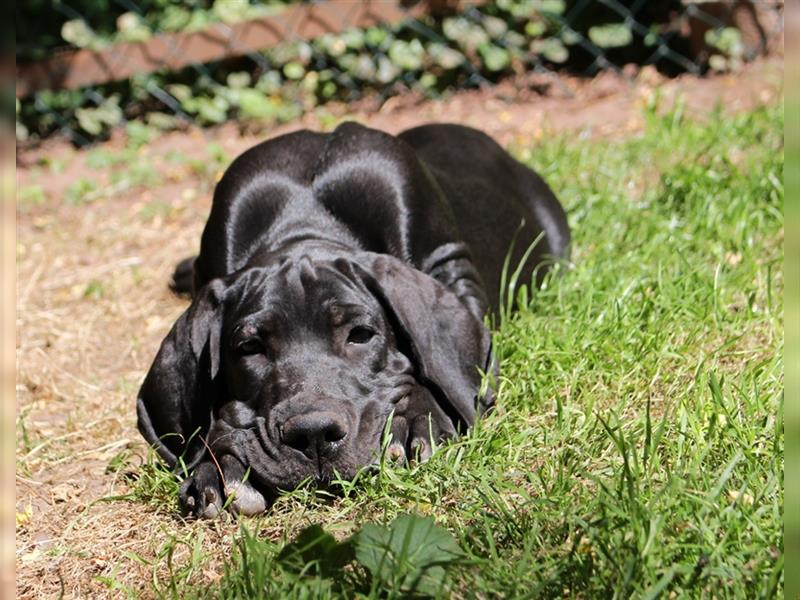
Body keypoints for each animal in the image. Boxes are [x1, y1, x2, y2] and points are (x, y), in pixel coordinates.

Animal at [136, 122, 568, 516]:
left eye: (360, 334)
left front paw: (417, 422)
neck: (304, 223)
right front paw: (217, 467)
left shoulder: (452, 265)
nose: (312, 435)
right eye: (249, 347)